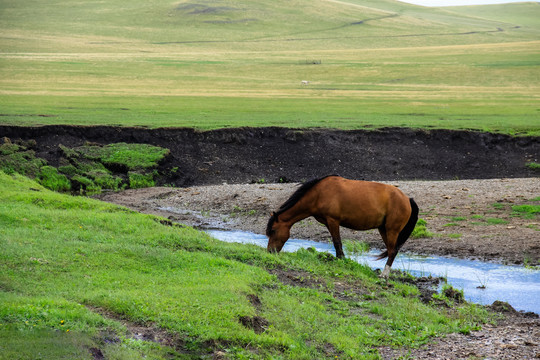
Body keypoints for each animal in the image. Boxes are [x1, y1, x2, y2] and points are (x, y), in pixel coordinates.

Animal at [268, 176, 420, 278]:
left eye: (273, 230)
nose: (270, 251)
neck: (319, 193)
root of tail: (407, 199)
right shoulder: (328, 222)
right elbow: (336, 242)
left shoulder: (333, 221)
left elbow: (337, 242)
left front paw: (340, 260)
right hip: (383, 229)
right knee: (390, 250)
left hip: (392, 230)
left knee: (393, 251)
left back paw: (384, 275)